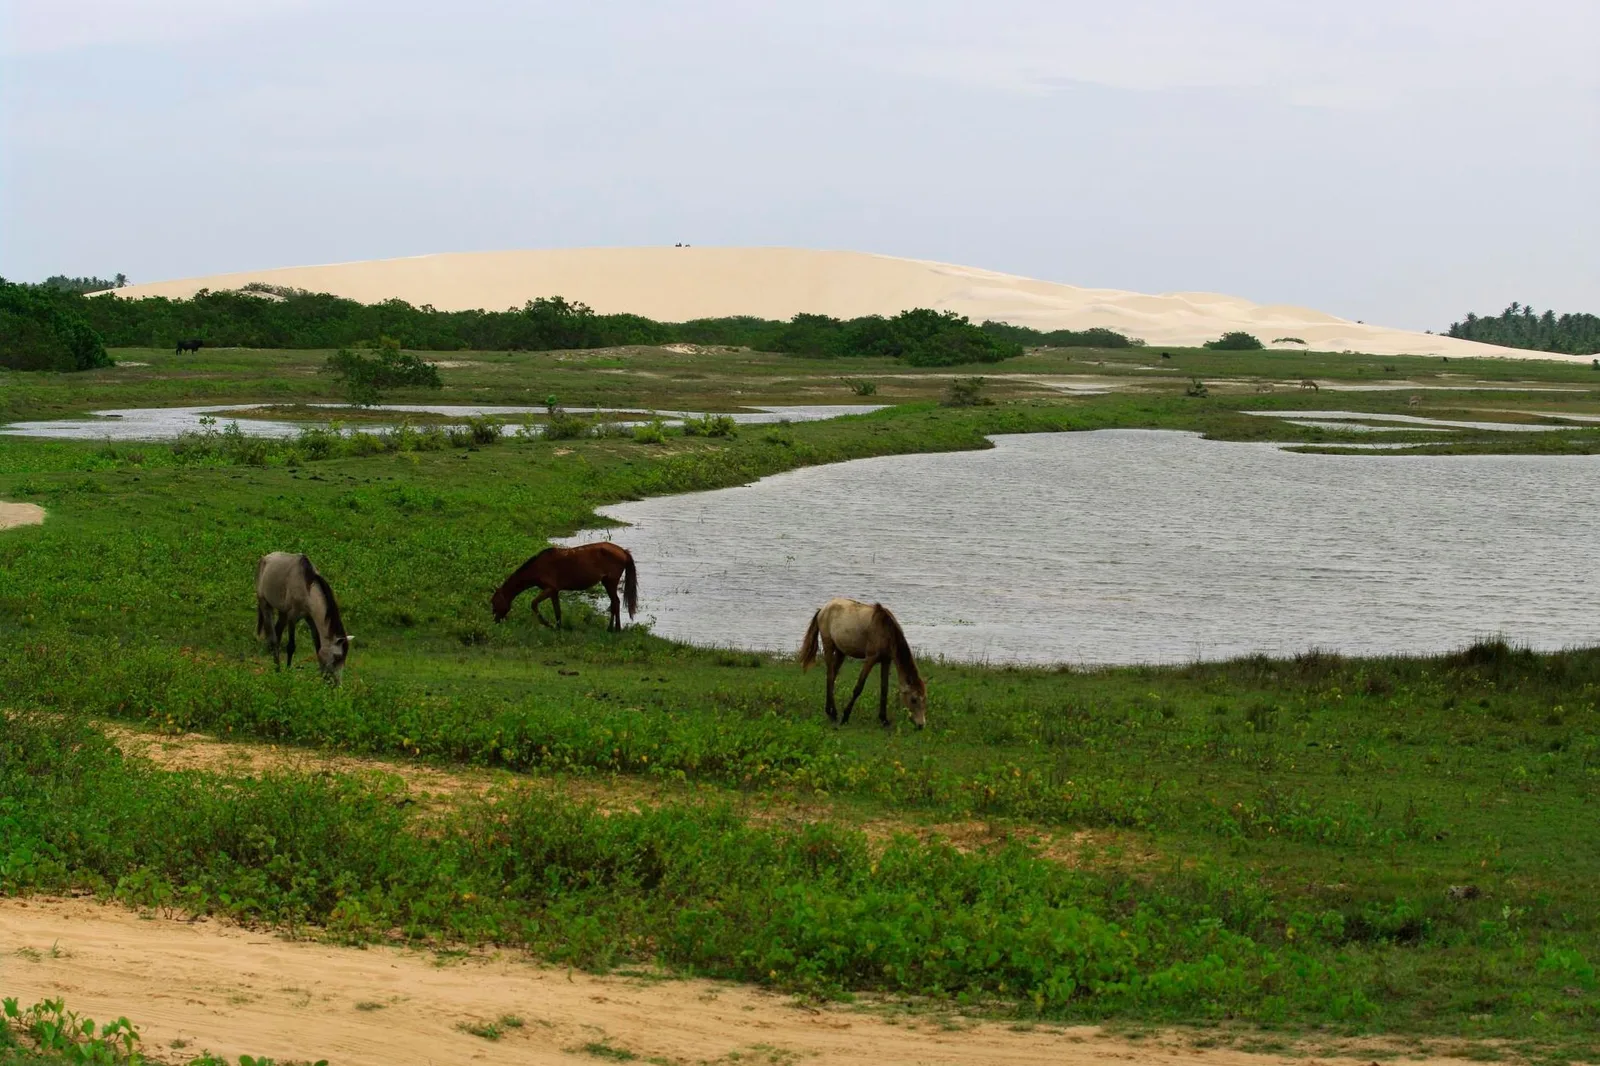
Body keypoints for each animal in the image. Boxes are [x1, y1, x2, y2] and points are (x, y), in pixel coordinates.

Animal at [491, 542, 638, 631]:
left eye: (494, 602)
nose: (495, 621)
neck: (538, 567)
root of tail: (623, 551)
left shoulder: (549, 589)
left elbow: (534, 604)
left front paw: (547, 624)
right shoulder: (554, 591)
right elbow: (557, 610)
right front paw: (558, 627)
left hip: (610, 582)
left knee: (616, 603)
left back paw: (615, 629)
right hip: (607, 582)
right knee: (614, 603)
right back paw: (611, 628)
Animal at [799, 598, 926, 729]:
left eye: (924, 699)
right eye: (913, 699)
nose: (921, 725)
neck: (885, 630)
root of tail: (822, 609)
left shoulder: (886, 660)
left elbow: (884, 689)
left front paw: (884, 719)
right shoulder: (870, 658)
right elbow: (858, 687)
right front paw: (845, 717)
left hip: (840, 651)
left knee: (832, 676)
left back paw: (831, 711)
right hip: (828, 645)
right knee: (830, 676)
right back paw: (833, 713)